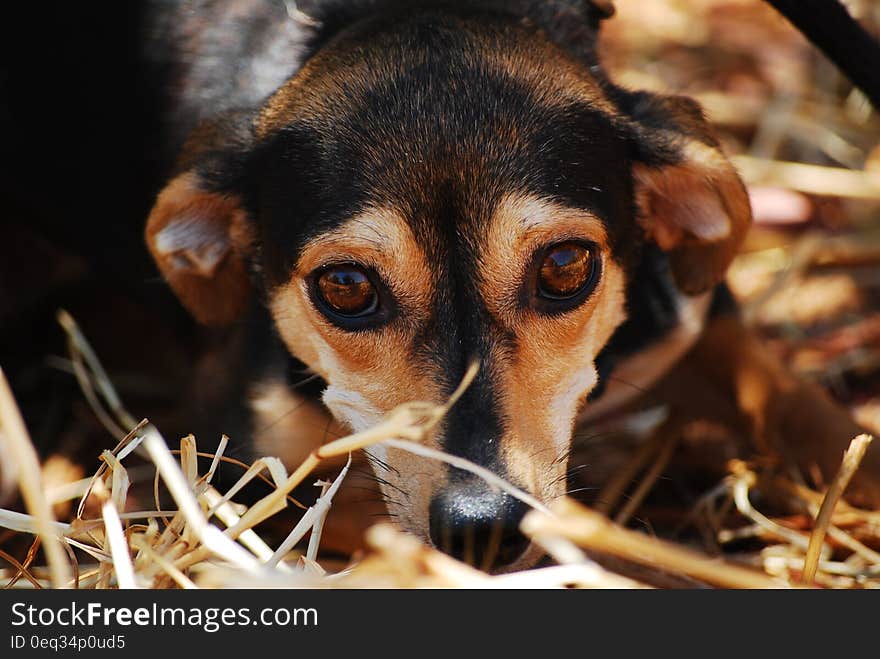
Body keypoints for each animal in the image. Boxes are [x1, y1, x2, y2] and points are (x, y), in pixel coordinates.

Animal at [141, 0, 880, 568]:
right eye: (345, 285)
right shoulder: (239, 472)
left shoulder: (695, 323)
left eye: (565, 266)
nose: (482, 527)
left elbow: (804, 409)